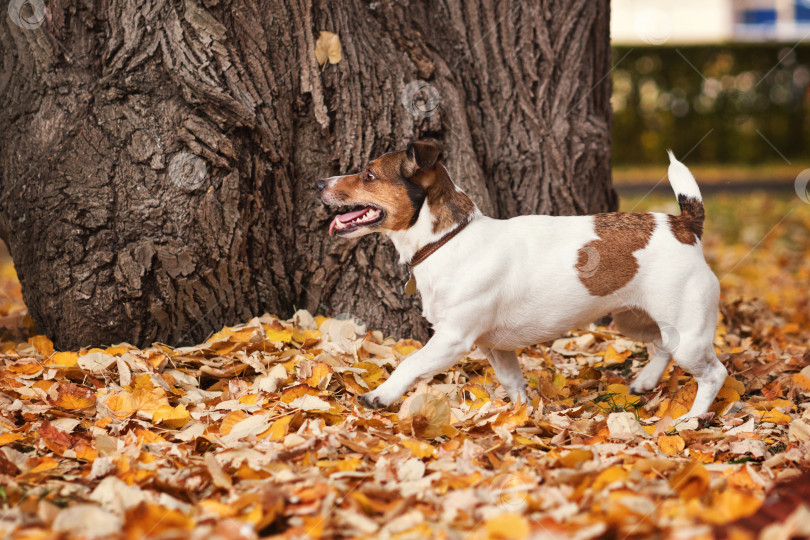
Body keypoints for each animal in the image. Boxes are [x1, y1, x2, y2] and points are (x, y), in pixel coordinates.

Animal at [316, 140, 724, 418]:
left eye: (368, 175)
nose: (319, 181)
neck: (449, 240)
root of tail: (684, 225)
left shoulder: (453, 339)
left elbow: (410, 364)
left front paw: (381, 395)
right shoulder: (495, 347)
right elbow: (513, 384)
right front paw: (522, 416)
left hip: (688, 334)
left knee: (714, 374)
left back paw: (691, 420)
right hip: (635, 321)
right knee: (661, 345)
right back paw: (646, 381)